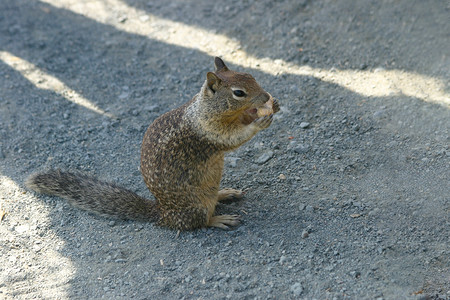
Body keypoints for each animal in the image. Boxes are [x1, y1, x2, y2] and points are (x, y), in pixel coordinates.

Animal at [26, 57, 280, 231]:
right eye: (239, 93)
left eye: (251, 75)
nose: (266, 96)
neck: (203, 109)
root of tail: (162, 213)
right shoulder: (209, 131)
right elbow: (232, 139)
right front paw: (260, 122)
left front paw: (271, 106)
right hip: (196, 207)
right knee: (197, 223)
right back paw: (220, 219)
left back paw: (226, 193)